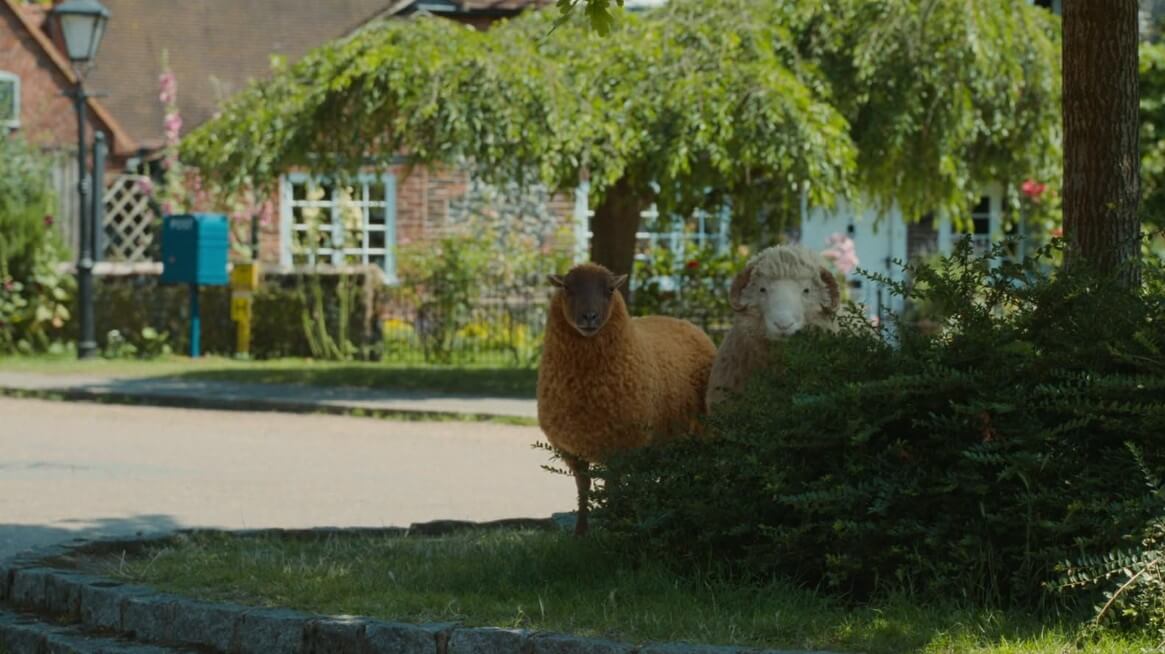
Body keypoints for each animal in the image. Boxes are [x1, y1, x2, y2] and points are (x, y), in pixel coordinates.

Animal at [537, 262, 718, 535]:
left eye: (610, 289)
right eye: (567, 288)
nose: (589, 317)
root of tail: (685, 322)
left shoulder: (620, 446)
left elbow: (611, 487)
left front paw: (612, 527)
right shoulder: (571, 449)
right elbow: (583, 487)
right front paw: (581, 533)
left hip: (699, 430)